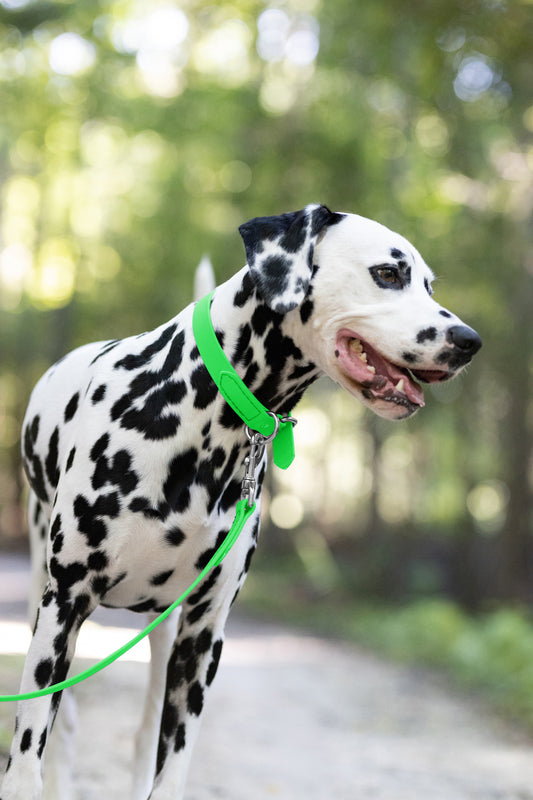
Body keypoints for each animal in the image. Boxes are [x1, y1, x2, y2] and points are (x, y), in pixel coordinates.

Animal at [1, 206, 482, 800]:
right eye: (388, 274)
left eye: (429, 284)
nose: (469, 340)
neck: (199, 416)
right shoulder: (65, 606)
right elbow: (27, 757)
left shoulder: (203, 635)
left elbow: (171, 768)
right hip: (45, 602)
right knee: (62, 732)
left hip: (164, 632)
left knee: (142, 738)